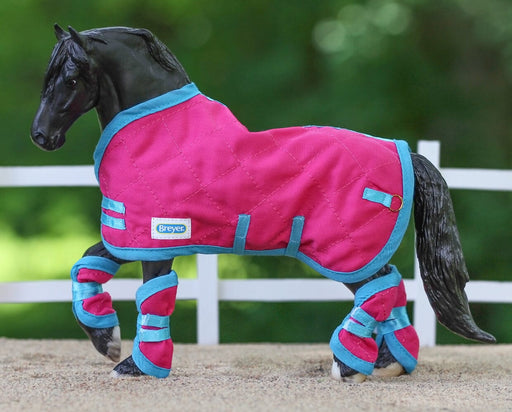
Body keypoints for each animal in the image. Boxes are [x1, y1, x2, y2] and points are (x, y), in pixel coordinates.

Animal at [30, 25, 494, 380]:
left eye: (71, 79)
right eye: (47, 78)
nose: (41, 136)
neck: (159, 130)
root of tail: (404, 152)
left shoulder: (156, 238)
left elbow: (153, 298)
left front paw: (136, 366)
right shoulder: (131, 232)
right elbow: (86, 266)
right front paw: (107, 342)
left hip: (343, 252)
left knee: (382, 289)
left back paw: (349, 366)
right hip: (350, 252)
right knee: (389, 289)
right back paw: (386, 364)